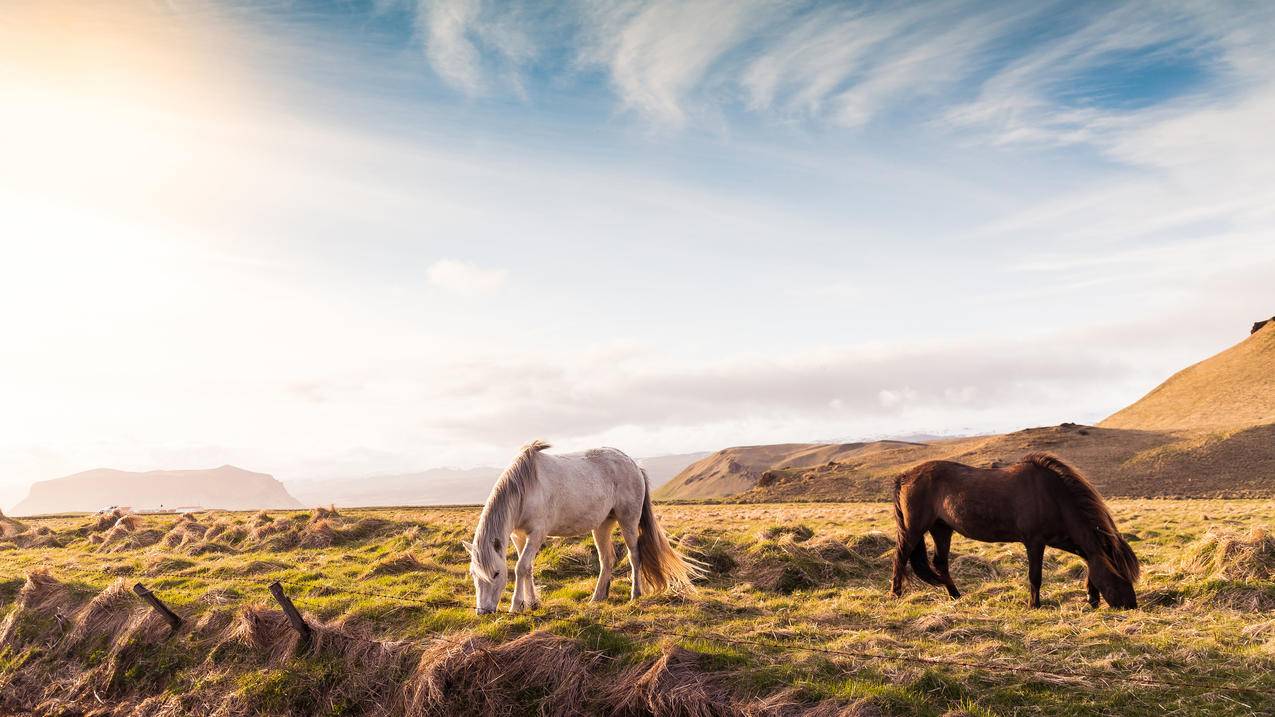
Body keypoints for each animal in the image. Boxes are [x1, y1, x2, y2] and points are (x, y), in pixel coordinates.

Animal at [464, 438, 703, 612]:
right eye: (474, 574)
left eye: (496, 573)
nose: (483, 611)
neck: (525, 488)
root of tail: (634, 464)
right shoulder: (518, 536)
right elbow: (527, 568)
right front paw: (532, 603)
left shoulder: (537, 534)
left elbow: (521, 567)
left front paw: (516, 606)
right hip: (603, 526)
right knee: (607, 560)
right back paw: (598, 597)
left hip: (628, 521)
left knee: (634, 556)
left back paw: (635, 595)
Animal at [892, 449, 1142, 604]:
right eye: (1119, 573)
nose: (1130, 605)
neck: (1053, 497)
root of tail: (904, 476)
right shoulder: (1035, 542)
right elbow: (1035, 576)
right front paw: (1035, 605)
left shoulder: (1062, 540)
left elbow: (1089, 561)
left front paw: (1092, 596)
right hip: (914, 529)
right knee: (900, 557)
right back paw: (896, 594)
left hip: (942, 528)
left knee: (940, 563)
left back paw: (955, 595)